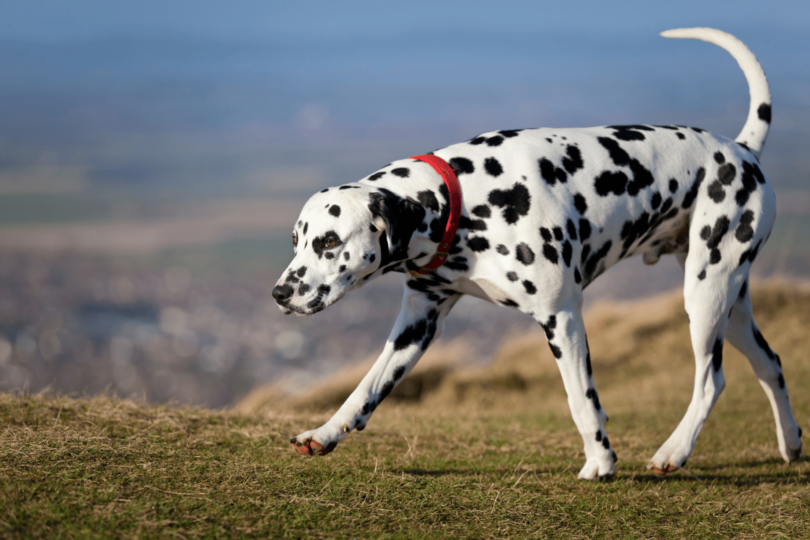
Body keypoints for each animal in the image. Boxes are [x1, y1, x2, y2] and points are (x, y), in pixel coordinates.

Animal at [272, 28, 800, 480]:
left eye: (330, 241)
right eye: (297, 240)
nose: (279, 294)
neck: (461, 199)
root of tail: (741, 150)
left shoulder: (561, 316)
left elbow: (580, 399)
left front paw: (600, 462)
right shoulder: (417, 324)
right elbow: (366, 388)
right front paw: (324, 432)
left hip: (705, 295)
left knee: (711, 380)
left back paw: (673, 451)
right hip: (729, 303)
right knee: (769, 362)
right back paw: (791, 442)